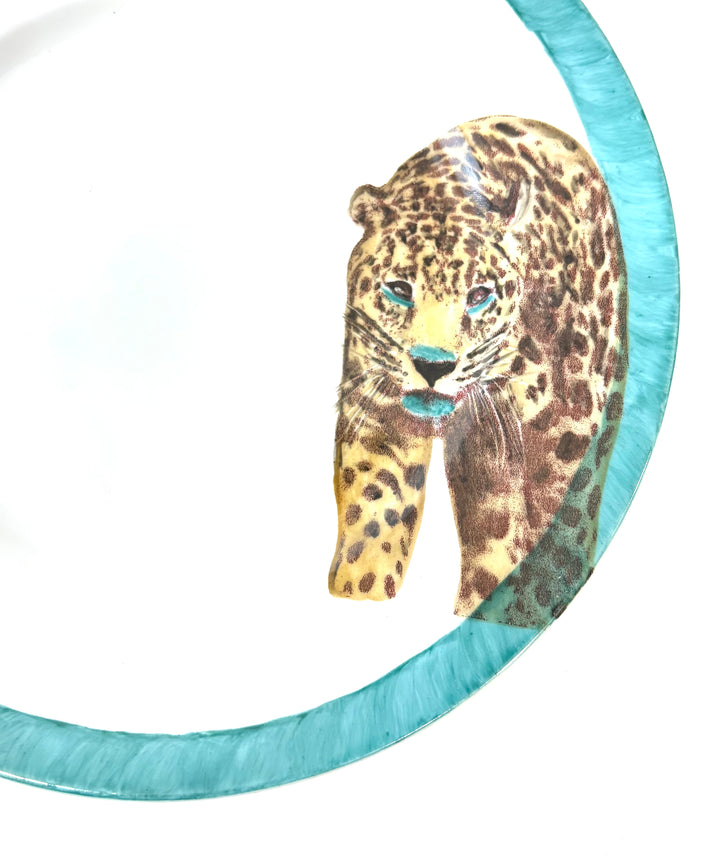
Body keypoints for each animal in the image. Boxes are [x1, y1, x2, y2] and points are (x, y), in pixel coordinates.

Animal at [328, 116, 627, 627]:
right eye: (399, 289)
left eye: (479, 295)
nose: (432, 365)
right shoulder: (379, 411)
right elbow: (374, 512)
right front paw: (359, 591)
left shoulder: (565, 436)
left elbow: (551, 537)